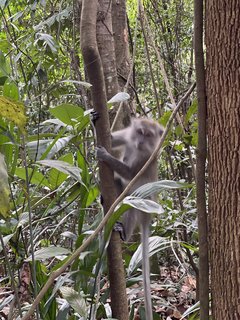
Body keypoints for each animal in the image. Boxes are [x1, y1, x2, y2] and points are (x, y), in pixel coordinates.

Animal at [96, 117, 164, 320]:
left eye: (148, 135)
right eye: (140, 132)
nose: (141, 141)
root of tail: (148, 217)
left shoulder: (146, 158)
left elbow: (130, 174)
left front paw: (105, 156)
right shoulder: (128, 136)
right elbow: (111, 139)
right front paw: (93, 118)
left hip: (145, 204)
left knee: (132, 203)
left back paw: (124, 233)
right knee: (118, 185)